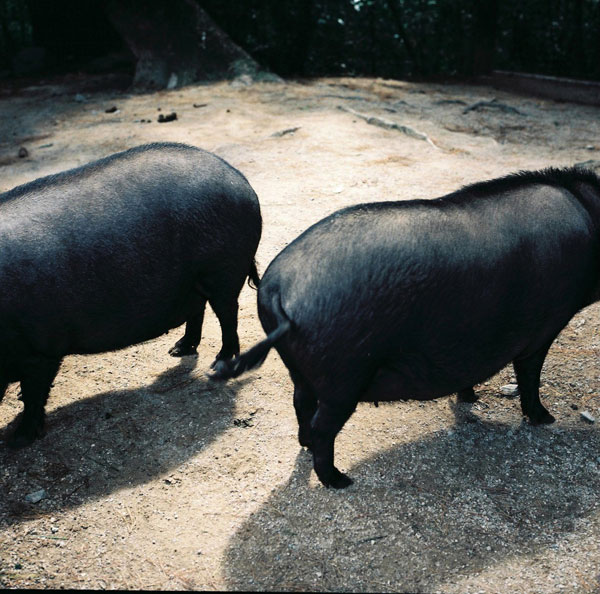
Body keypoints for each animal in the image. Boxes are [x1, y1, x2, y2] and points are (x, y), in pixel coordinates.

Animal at [1, 141, 262, 444]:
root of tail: (241, 180)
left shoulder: (40, 349)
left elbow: (34, 394)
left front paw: (18, 440)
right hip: (194, 279)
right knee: (198, 308)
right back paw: (177, 350)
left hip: (222, 270)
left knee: (227, 314)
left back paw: (218, 363)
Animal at [214, 166, 600, 486]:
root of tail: (280, 288)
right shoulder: (545, 327)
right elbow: (529, 375)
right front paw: (546, 419)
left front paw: (470, 398)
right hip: (344, 376)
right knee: (324, 428)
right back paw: (340, 481)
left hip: (303, 370)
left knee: (300, 405)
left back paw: (308, 447)